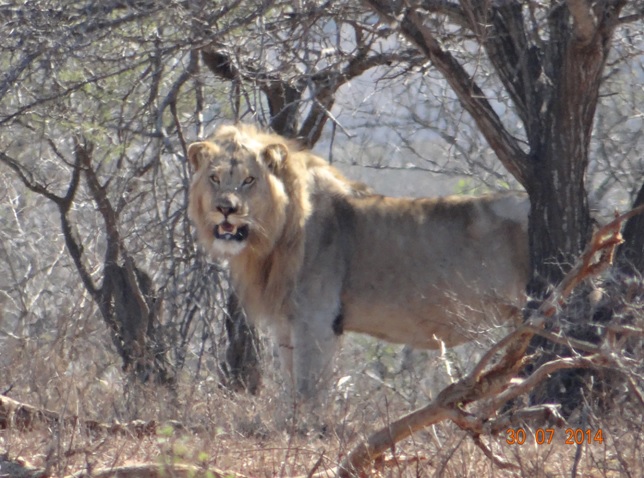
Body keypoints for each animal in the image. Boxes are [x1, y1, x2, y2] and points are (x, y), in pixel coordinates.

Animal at [186, 124, 528, 400]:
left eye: (249, 180)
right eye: (215, 178)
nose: (226, 208)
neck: (272, 238)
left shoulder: (316, 319)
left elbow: (309, 392)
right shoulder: (286, 324)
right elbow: (292, 388)